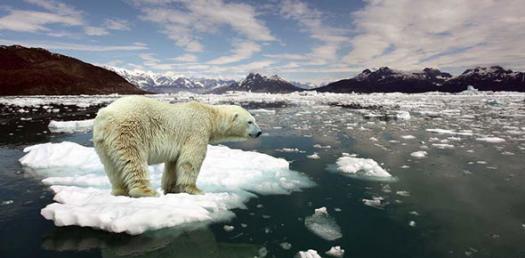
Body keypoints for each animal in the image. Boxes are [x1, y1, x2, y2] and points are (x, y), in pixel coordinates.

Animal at [93, 96, 260, 198]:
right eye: (250, 121)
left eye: (254, 119)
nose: (259, 132)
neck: (209, 115)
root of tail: (104, 116)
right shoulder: (197, 130)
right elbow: (191, 160)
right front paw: (195, 190)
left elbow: (173, 164)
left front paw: (171, 188)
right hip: (129, 131)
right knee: (133, 160)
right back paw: (147, 191)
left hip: (103, 143)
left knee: (112, 166)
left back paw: (119, 191)